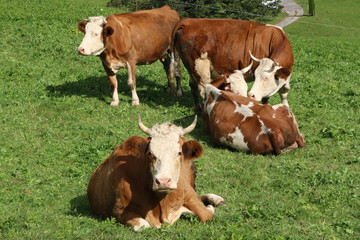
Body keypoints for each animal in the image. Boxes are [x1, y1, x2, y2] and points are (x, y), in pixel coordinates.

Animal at [86, 116, 225, 231]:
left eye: (179, 153)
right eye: (150, 153)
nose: (163, 182)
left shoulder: (188, 194)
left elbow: (206, 214)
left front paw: (209, 206)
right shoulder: (118, 210)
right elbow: (143, 225)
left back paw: (215, 199)